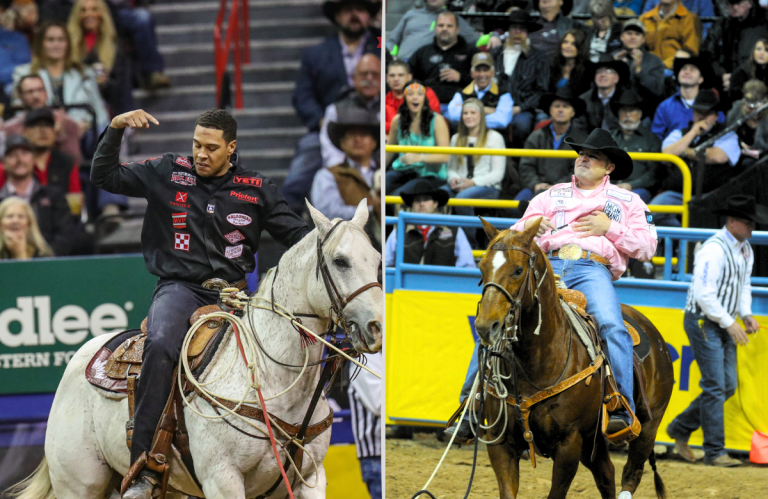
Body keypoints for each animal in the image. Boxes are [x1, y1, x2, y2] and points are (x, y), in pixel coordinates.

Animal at [10, 200, 382, 499]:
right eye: (340, 260)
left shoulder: (310, 479)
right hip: (78, 485)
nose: (377, 326)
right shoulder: (223, 480)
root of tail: (85, 354)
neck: (269, 378)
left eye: (377, 260)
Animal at [472, 219, 676, 499]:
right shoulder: (501, 443)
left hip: (648, 425)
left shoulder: (569, 443)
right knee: (606, 473)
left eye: (518, 270)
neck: (537, 361)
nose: (485, 326)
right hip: (594, 441)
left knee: (631, 473)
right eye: (482, 266)